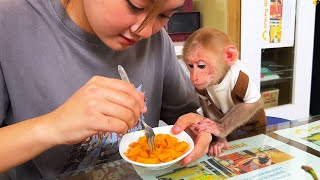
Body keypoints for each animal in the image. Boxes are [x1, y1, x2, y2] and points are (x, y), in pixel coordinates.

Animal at [181, 27, 266, 156]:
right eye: (190, 66)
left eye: (201, 66)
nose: (194, 77)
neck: (220, 79)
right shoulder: (201, 88)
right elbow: (204, 102)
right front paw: (217, 140)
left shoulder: (241, 76)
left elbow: (251, 104)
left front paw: (220, 128)